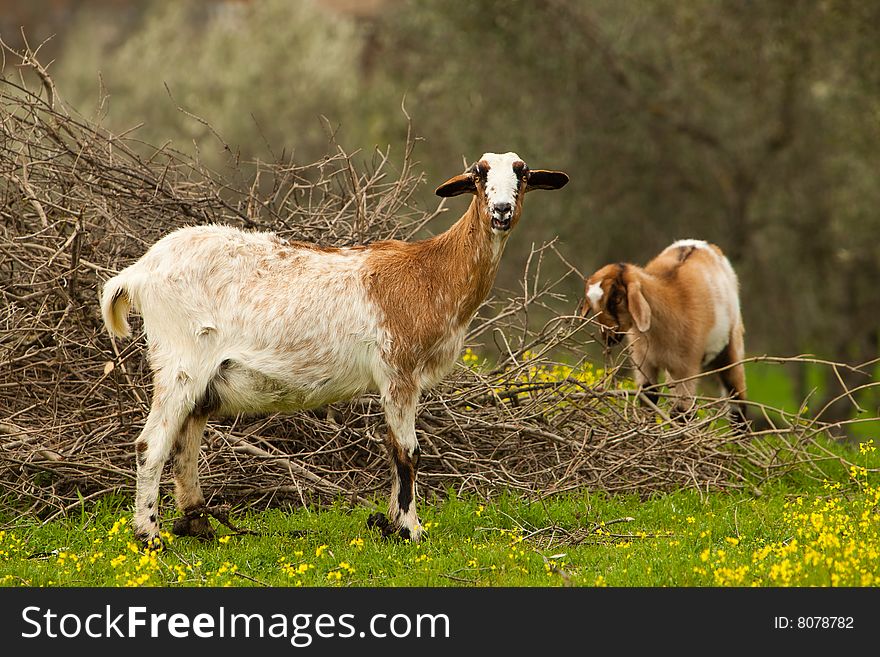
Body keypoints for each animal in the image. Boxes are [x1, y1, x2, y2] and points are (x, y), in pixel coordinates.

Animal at [101, 151, 572, 540]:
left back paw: (199, 526)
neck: (432, 271)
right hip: (180, 359)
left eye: (523, 173)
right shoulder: (399, 371)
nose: (501, 211)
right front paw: (411, 530)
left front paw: (390, 523)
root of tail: (138, 273)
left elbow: (391, 448)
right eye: (479, 173)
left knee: (186, 443)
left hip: (204, 380)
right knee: (151, 445)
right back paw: (150, 535)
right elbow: (408, 451)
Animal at [584, 238, 748, 428]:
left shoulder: (686, 367)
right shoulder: (643, 361)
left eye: (617, 299)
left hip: (731, 349)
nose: (608, 337)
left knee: (737, 405)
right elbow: (648, 401)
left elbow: (683, 413)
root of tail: (700, 243)